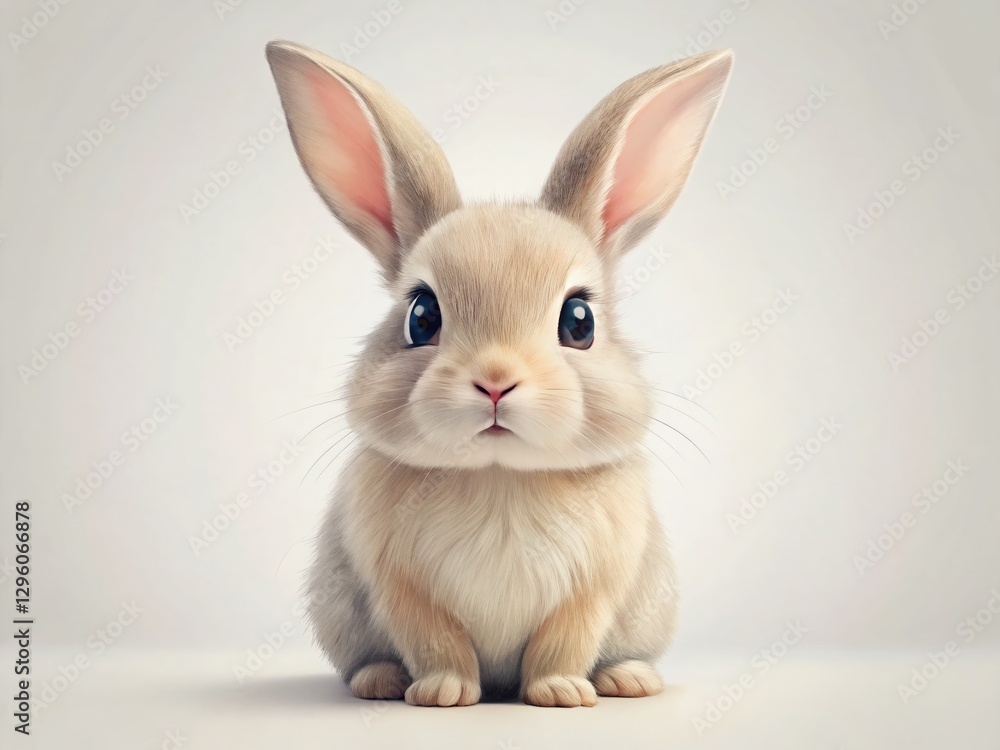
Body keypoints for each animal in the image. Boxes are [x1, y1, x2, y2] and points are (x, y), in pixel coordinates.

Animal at [265, 40, 733, 707]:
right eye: (421, 315)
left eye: (579, 320)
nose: (494, 381)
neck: (499, 475)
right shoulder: (400, 585)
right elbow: (435, 638)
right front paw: (442, 693)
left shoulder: (595, 586)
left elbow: (565, 638)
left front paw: (561, 693)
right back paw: (380, 680)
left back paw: (628, 679)